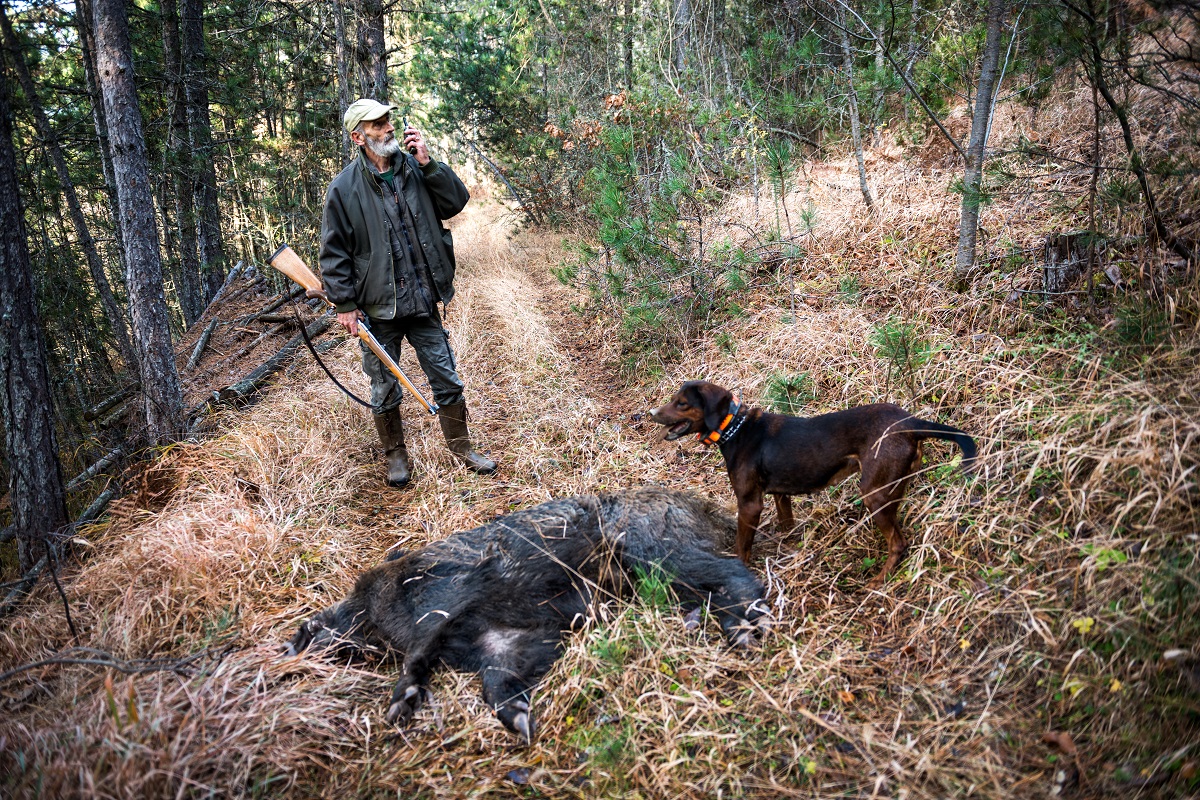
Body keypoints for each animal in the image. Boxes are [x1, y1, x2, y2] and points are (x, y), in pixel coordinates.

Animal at [652, 379, 979, 585]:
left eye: (682, 403)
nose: (650, 413)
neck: (735, 428)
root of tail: (910, 423)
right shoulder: (780, 496)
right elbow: (787, 526)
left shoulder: (749, 504)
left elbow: (742, 547)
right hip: (892, 487)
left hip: (873, 493)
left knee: (898, 543)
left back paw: (880, 580)